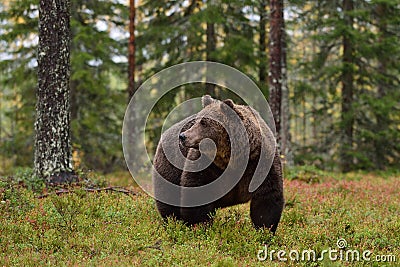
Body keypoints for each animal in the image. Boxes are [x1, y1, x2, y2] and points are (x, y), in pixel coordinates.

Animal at [152, 95, 284, 233]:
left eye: (204, 122)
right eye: (196, 121)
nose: (183, 136)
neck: (233, 159)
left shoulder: (259, 163)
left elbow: (267, 198)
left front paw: (265, 230)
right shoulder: (206, 166)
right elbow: (196, 193)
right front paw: (200, 226)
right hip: (170, 167)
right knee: (169, 198)